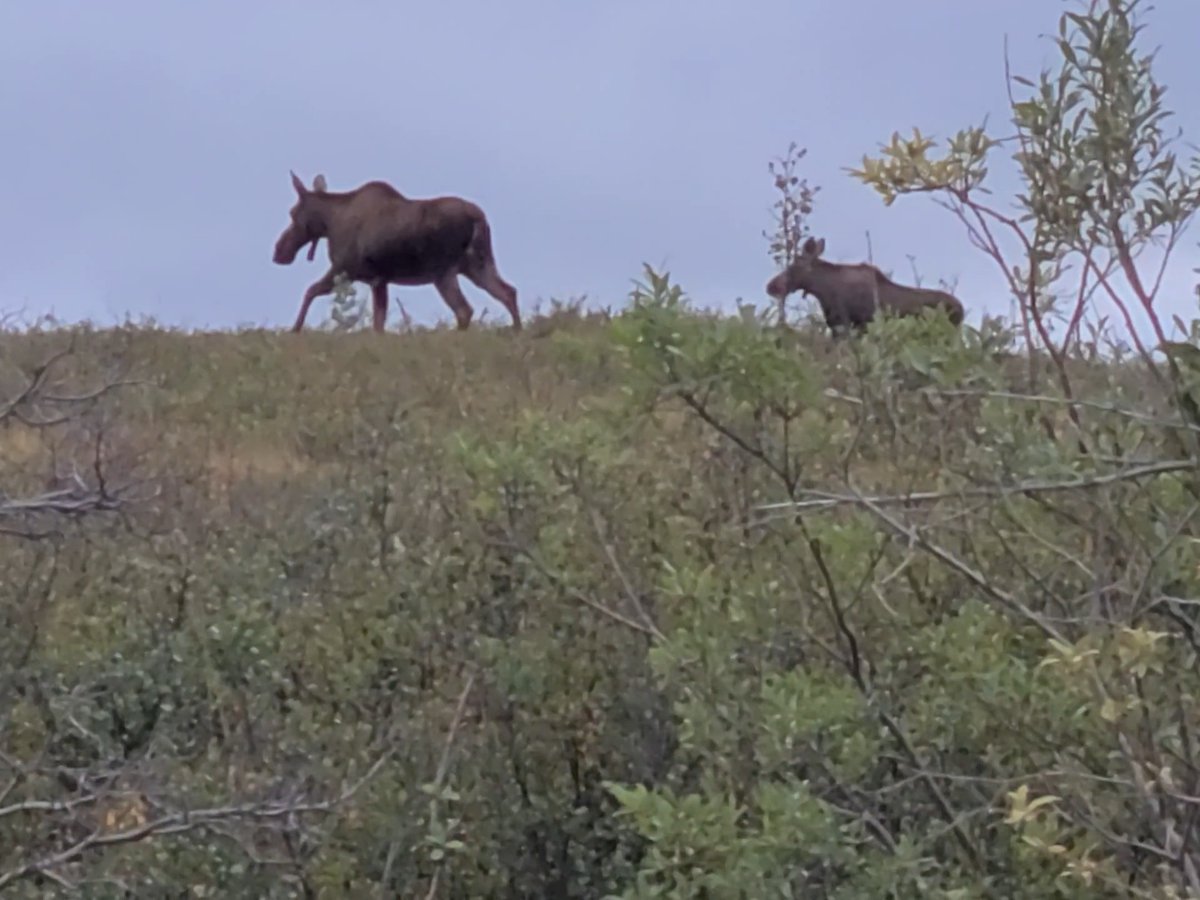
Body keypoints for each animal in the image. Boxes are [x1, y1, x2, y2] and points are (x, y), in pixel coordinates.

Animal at [272, 172, 521, 333]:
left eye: (292, 213)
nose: (278, 251)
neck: (329, 223)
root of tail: (479, 218)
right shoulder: (379, 279)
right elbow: (378, 322)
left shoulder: (345, 269)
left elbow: (310, 291)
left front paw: (294, 330)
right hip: (477, 264)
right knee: (507, 291)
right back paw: (517, 331)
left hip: (443, 271)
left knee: (464, 309)